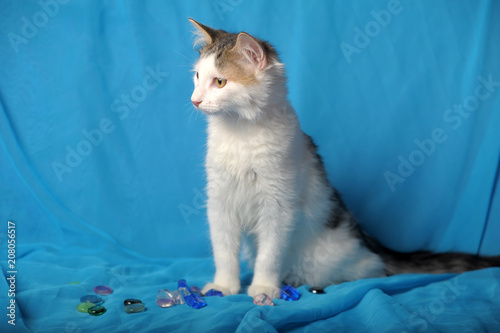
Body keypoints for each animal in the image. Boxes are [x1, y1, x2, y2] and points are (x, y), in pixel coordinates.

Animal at [188, 18, 500, 298]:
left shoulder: (277, 206)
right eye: (197, 77)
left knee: (373, 270)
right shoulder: (220, 203)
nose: (195, 100)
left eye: (220, 82)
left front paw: (264, 288)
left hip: (330, 259)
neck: (239, 133)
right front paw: (224, 287)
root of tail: (366, 239)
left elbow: (270, 254)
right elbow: (224, 252)